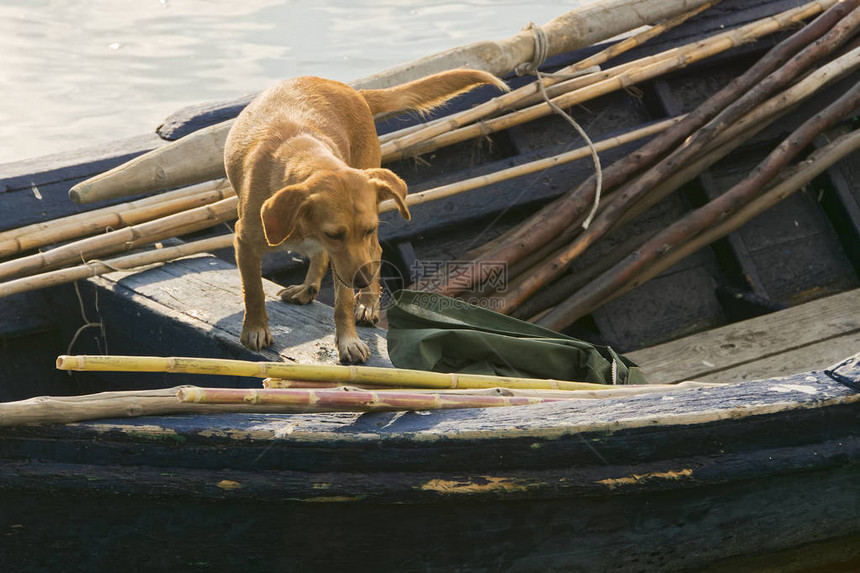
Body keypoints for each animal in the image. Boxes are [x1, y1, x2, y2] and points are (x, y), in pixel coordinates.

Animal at [223, 68, 510, 362]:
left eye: (369, 228)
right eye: (333, 234)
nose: (363, 281)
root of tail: (352, 90)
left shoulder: (349, 261)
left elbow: (343, 303)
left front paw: (349, 340)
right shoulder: (245, 243)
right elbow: (253, 290)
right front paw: (256, 329)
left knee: (376, 251)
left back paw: (367, 303)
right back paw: (310, 288)